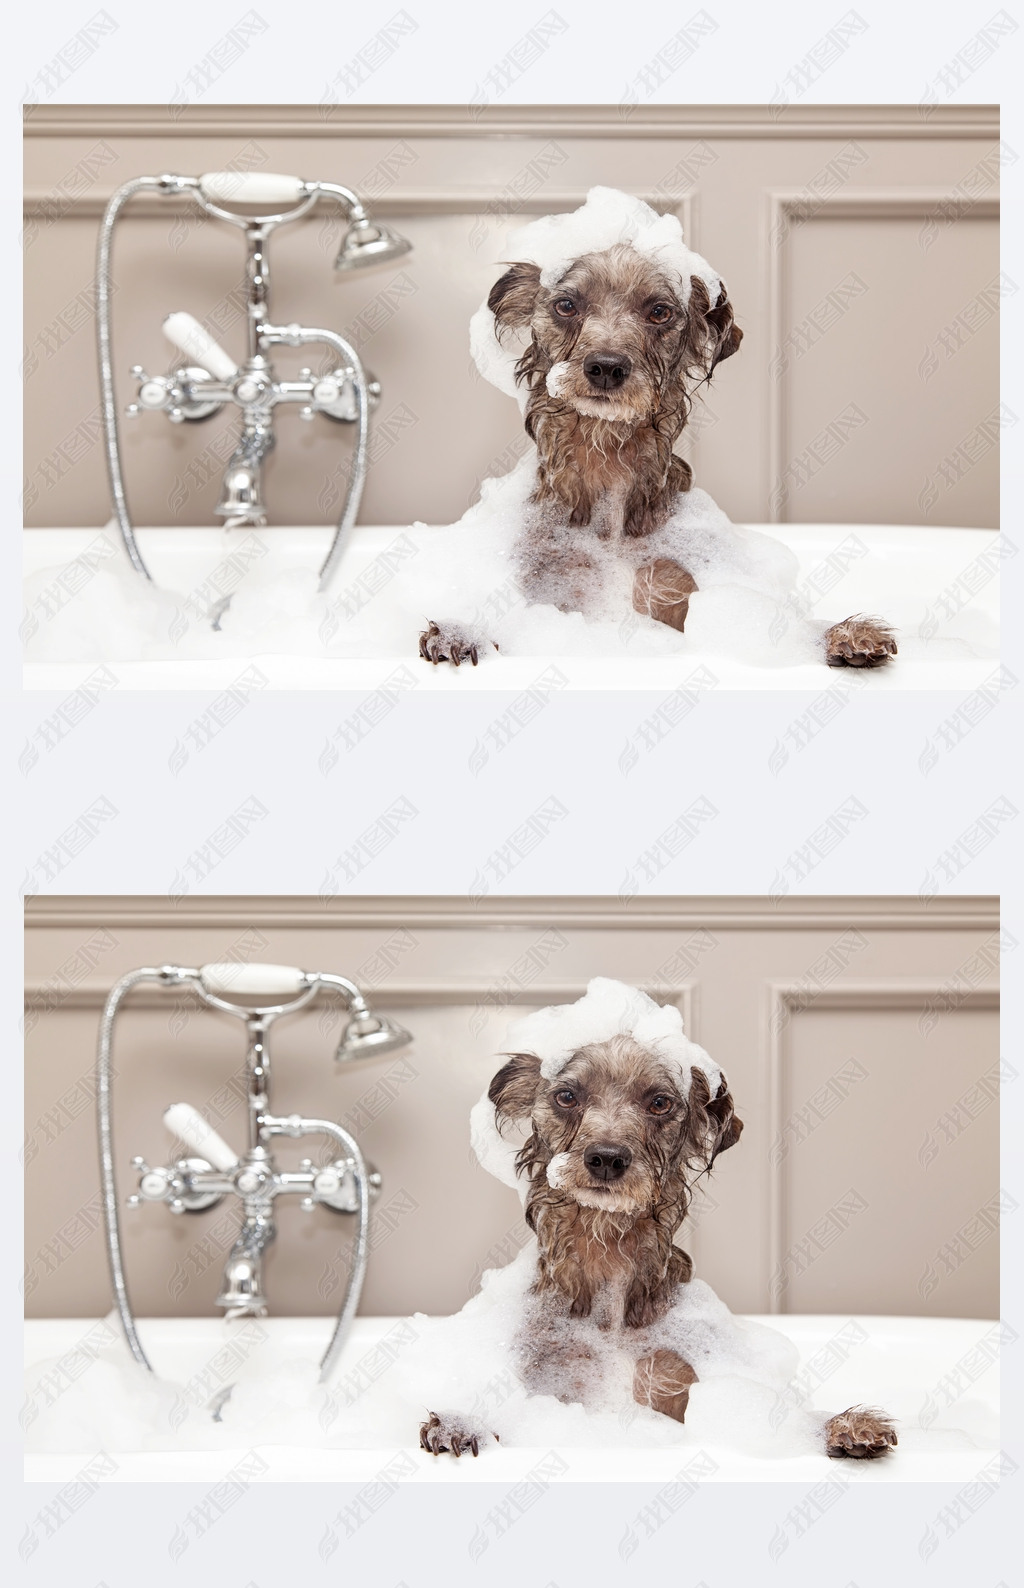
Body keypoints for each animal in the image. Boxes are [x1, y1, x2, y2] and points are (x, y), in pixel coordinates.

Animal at [415, 192, 895, 670]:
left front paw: (836, 634)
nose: (606, 366)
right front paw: (465, 631)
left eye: (659, 312)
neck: (606, 465)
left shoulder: (677, 588)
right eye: (566, 305)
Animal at [415, 1003, 895, 1460]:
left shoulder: (677, 1381)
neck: (607, 1257)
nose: (607, 1157)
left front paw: (838, 1426)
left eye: (660, 1102)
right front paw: (464, 1423)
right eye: (567, 1096)